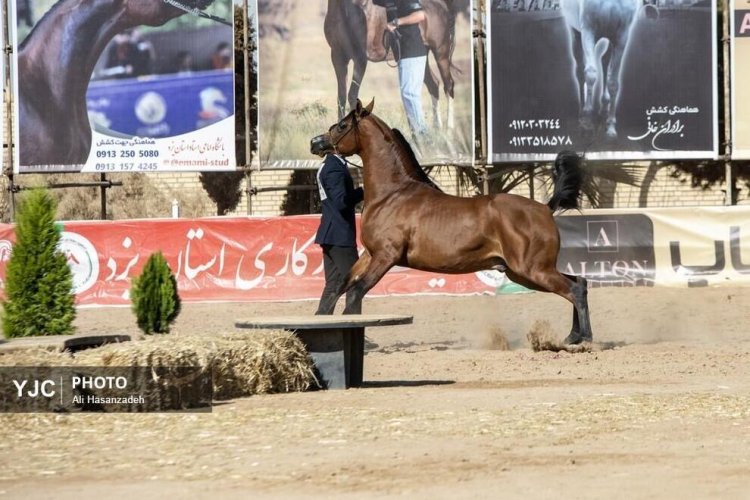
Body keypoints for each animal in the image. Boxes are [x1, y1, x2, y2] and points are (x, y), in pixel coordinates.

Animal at [310, 100, 592, 346]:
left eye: (342, 125)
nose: (315, 143)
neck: (392, 194)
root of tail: (545, 208)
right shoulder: (369, 255)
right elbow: (340, 287)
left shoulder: (385, 256)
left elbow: (356, 292)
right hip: (526, 272)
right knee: (580, 282)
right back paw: (573, 337)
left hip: (532, 270)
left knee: (574, 289)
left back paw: (583, 339)